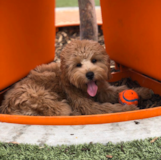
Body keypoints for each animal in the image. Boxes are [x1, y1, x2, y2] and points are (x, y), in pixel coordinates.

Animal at [0, 39, 152, 115]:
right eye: (78, 64)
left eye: (94, 60)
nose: (89, 74)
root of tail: (6, 105)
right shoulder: (85, 104)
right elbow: (107, 108)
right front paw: (128, 109)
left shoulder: (103, 90)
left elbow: (118, 90)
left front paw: (143, 91)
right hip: (42, 98)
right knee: (61, 111)